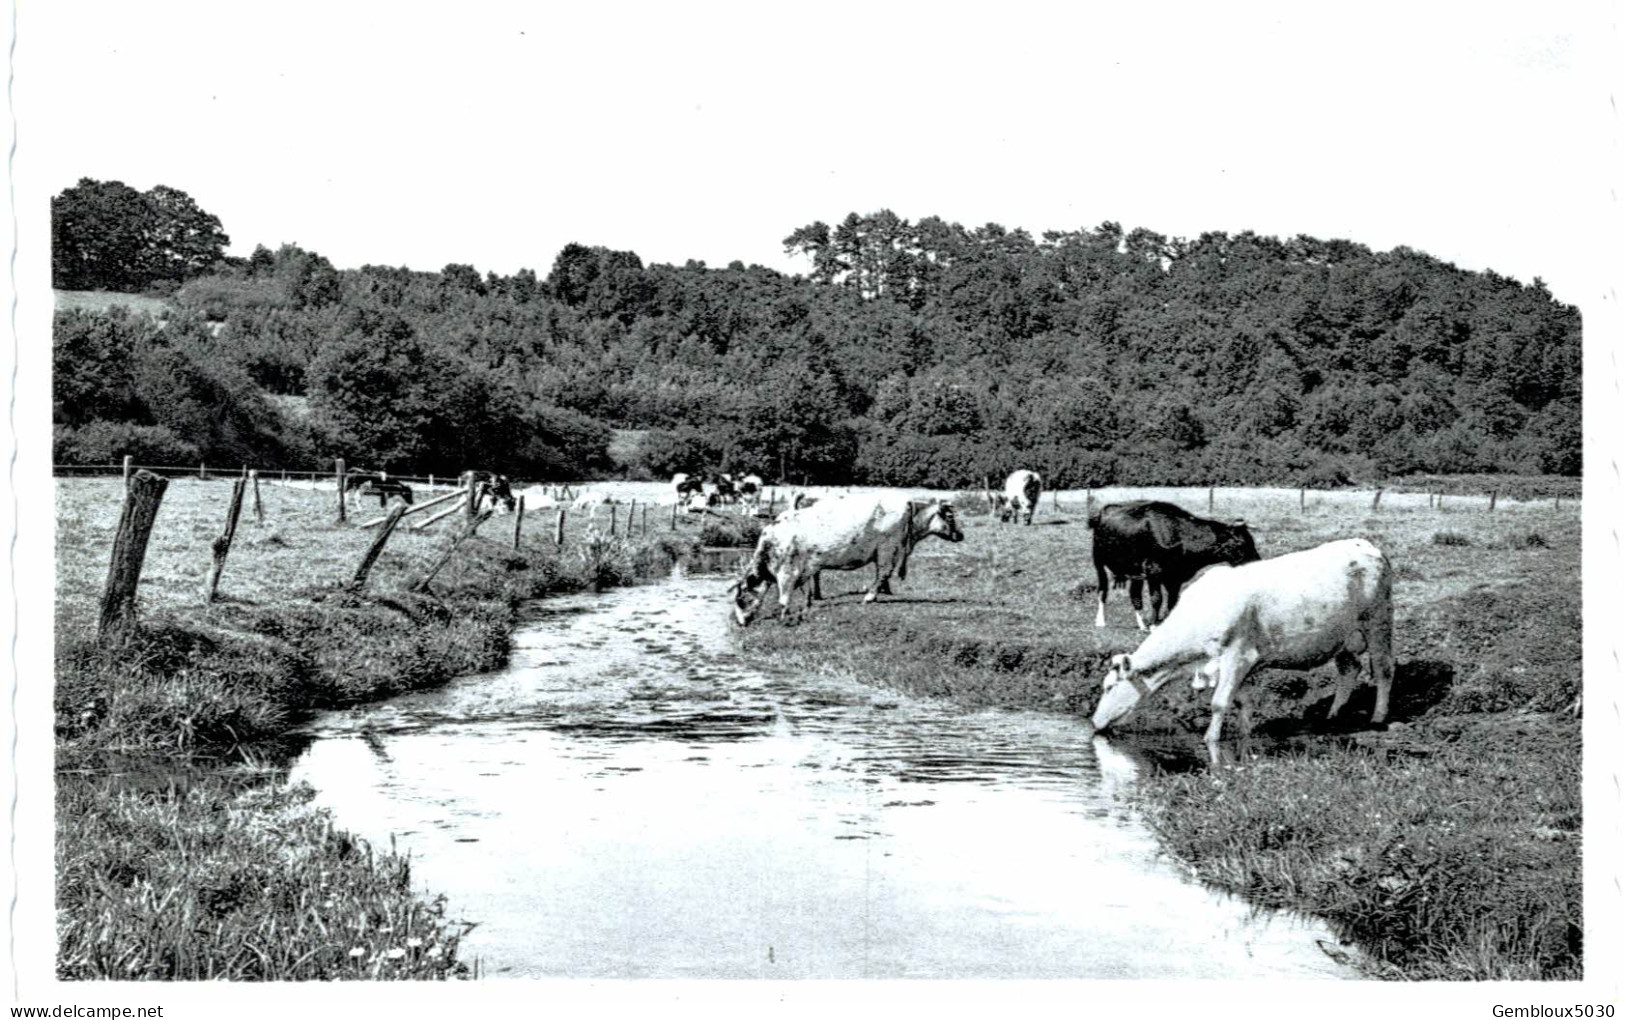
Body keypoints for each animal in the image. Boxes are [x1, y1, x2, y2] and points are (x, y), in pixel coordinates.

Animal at [734, 490, 962, 626]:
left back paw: (870, 596)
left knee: (883, 572)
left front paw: (783, 617)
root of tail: (904, 500)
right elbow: (805, 588)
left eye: (741, 599)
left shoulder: (787, 571)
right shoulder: (804, 567)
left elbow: (784, 597)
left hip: (886, 547)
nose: (740, 623)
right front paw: (806, 606)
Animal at [1085, 500, 1261, 633]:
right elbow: (1157, 598)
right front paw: (1155, 625)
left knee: (1135, 595)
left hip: (1134, 570)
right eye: (1240, 543)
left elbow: (1173, 601)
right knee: (1103, 590)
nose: (1258, 562)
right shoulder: (1153, 570)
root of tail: (1102, 511)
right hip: (1098, 561)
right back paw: (1100, 622)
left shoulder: (1175, 576)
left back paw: (1142, 625)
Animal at [1085, 539, 1391, 760]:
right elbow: (1241, 701)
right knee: (1350, 668)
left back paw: (1378, 717)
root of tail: (1364, 544)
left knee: (1383, 669)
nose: (1095, 723)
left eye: (1109, 687)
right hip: (1343, 636)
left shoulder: (1238, 656)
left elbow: (1220, 702)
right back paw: (1334, 714)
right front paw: (1245, 732)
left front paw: (1211, 739)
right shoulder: (1239, 664)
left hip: (1378, 621)